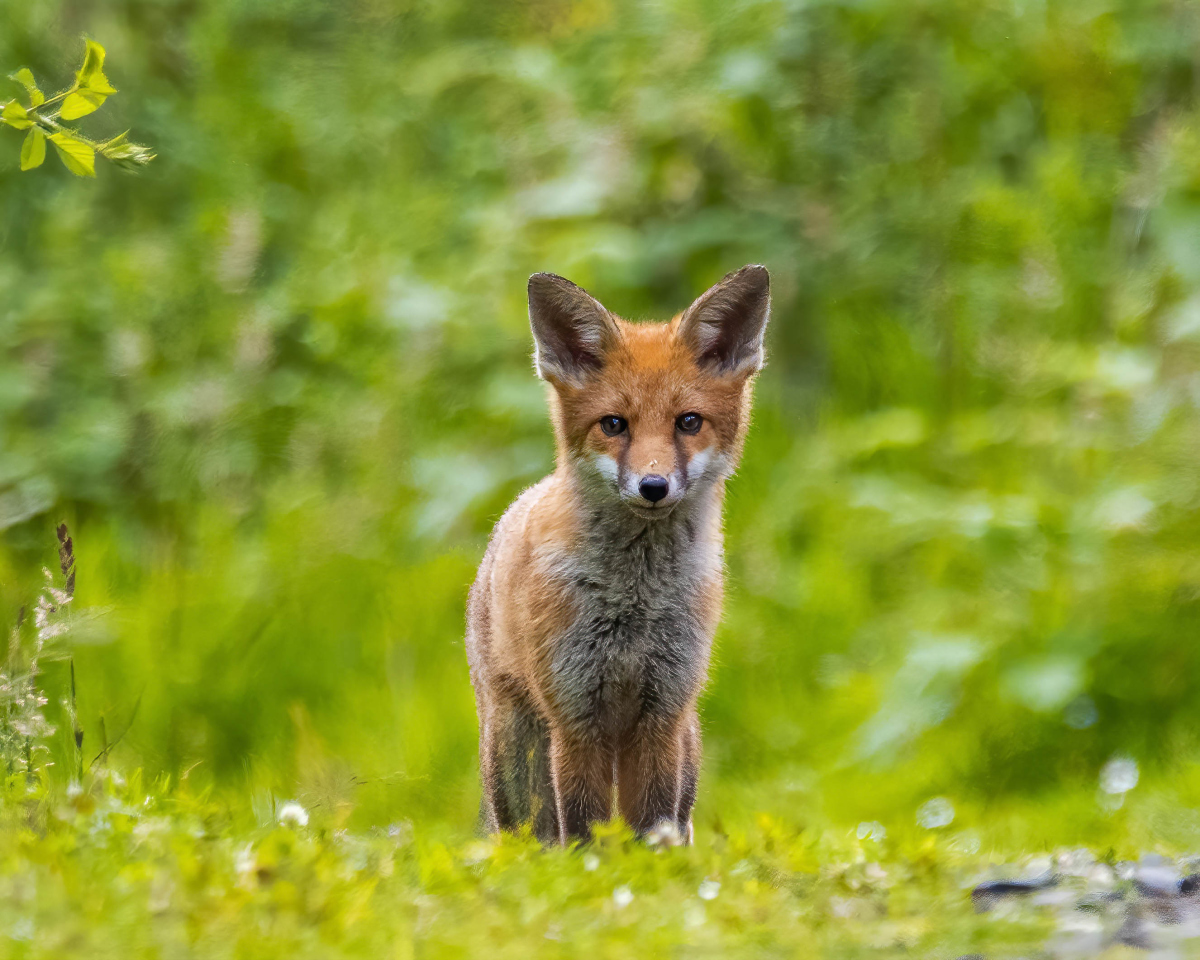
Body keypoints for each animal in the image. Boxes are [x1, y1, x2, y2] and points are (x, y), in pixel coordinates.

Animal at [463, 266, 772, 844]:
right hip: (515, 753)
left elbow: (651, 825)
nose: (653, 486)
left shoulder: (661, 714)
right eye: (613, 424)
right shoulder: (575, 716)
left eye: (688, 422)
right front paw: (592, 868)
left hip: (686, 743)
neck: (636, 600)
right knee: (529, 835)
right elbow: (584, 829)